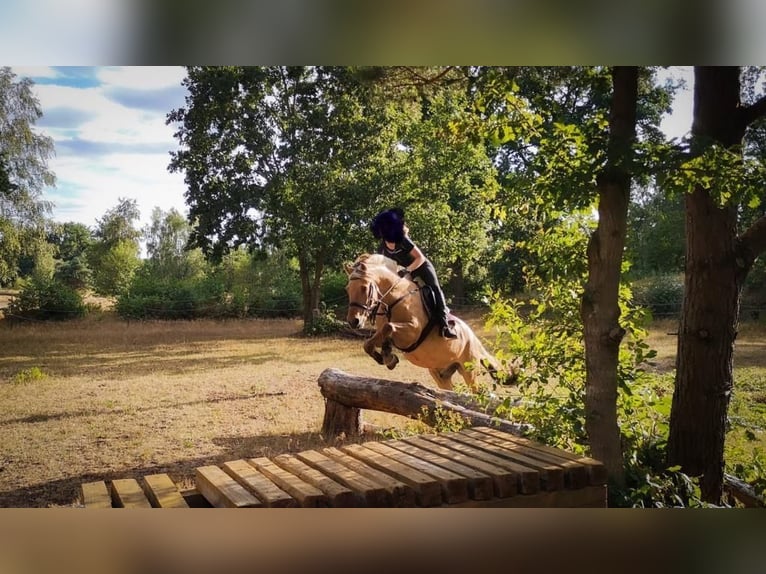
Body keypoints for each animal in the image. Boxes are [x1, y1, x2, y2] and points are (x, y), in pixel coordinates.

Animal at [344, 253, 516, 391]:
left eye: (364, 287)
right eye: (347, 289)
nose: (354, 321)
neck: (394, 298)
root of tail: (474, 339)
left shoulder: (412, 332)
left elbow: (389, 327)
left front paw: (387, 357)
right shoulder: (385, 334)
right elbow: (371, 342)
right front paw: (388, 358)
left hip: (469, 369)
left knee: (477, 392)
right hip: (441, 373)